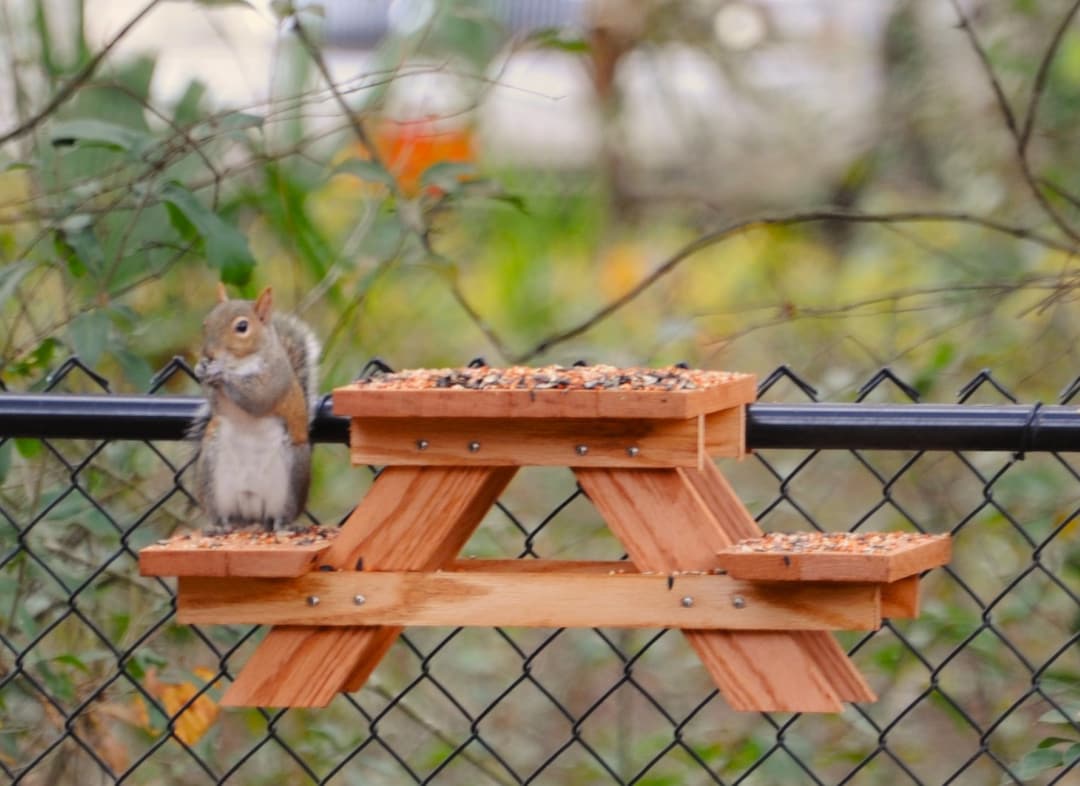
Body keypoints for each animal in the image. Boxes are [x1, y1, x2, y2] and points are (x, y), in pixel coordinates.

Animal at [190, 284, 321, 534]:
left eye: (242, 327)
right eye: (205, 323)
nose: (208, 355)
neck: (240, 363)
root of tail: (251, 515)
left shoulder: (275, 378)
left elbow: (258, 398)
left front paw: (221, 373)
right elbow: (217, 404)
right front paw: (201, 369)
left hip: (291, 479)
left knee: (280, 516)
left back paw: (283, 527)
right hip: (211, 473)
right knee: (222, 515)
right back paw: (219, 527)